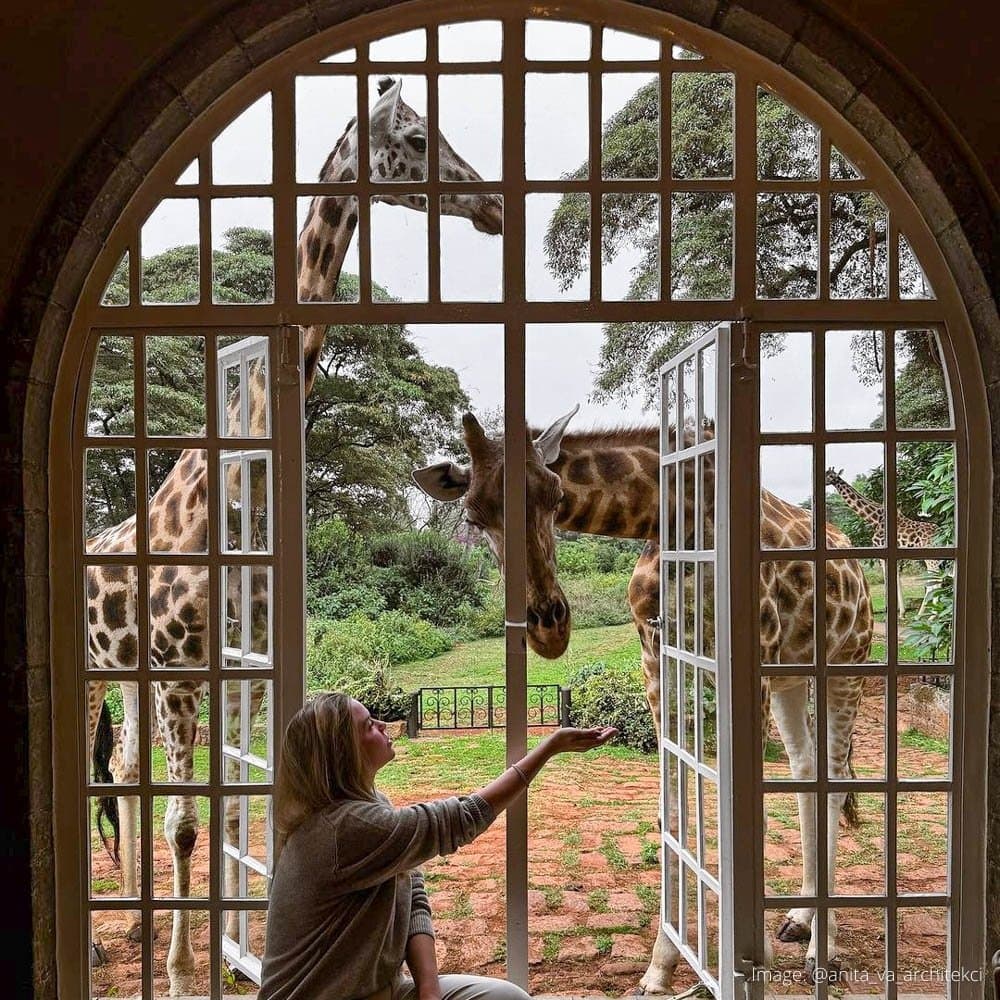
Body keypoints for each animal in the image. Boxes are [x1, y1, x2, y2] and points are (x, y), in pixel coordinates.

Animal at [86, 76, 502, 996]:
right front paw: (182, 971)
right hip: (112, 671)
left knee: (125, 768)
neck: (228, 494)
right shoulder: (182, 676)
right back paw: (118, 938)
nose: (495, 203)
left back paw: (128, 924)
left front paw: (226, 943)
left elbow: (237, 808)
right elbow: (186, 822)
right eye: (415, 139)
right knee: (127, 778)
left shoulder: (239, 674)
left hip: (128, 678)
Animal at [414, 408, 874, 991]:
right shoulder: (657, 658)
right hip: (793, 676)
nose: (549, 626)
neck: (669, 520)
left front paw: (755, 959)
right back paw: (799, 918)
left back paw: (823, 946)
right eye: (474, 517)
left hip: (847, 659)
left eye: (554, 495)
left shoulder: (752, 651)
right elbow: (672, 815)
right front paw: (659, 967)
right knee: (805, 770)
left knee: (832, 776)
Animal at [824, 467, 940, 615]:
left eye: (830, 475)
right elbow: (897, 578)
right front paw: (901, 612)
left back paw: (931, 614)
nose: (824, 481)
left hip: (931, 559)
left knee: (936, 582)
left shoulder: (880, 550)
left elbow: (887, 579)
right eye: (826, 474)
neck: (874, 519)